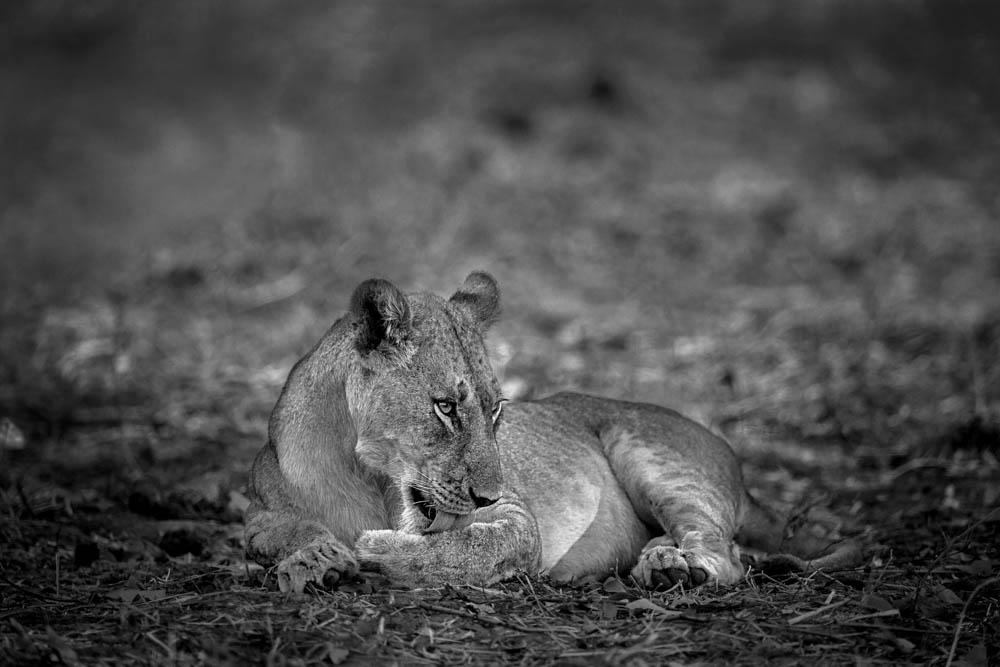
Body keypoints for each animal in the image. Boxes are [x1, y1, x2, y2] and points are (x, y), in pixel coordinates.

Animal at [244, 272, 860, 596]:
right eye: (445, 408)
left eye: (496, 410)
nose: (485, 496)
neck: (369, 476)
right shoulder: (257, 512)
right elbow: (278, 531)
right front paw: (315, 557)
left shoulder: (518, 519)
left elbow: (465, 550)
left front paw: (373, 550)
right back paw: (657, 559)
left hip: (652, 458)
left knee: (725, 553)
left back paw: (674, 568)